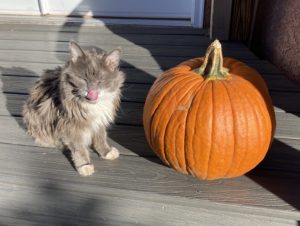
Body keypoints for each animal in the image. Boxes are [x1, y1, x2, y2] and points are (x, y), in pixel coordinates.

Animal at [22, 40, 124, 177]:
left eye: (100, 81)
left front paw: (106, 152)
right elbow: (79, 149)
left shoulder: (99, 122)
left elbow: (101, 138)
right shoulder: (72, 126)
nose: (91, 91)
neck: (92, 106)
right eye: (83, 79)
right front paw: (84, 166)